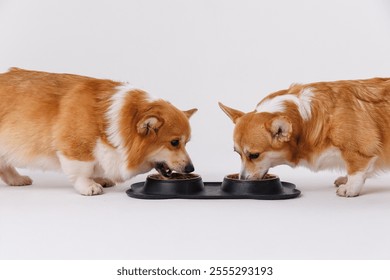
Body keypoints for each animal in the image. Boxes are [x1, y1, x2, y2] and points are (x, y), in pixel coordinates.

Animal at [0, 67, 197, 195]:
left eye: (187, 142)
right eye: (174, 142)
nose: (191, 168)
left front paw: (100, 178)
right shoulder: (76, 149)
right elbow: (82, 171)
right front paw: (90, 186)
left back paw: (17, 180)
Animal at [221, 77, 390, 197]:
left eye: (254, 155)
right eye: (238, 153)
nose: (242, 180)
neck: (307, 120)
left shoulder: (360, 151)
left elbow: (356, 171)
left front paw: (350, 188)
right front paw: (346, 179)